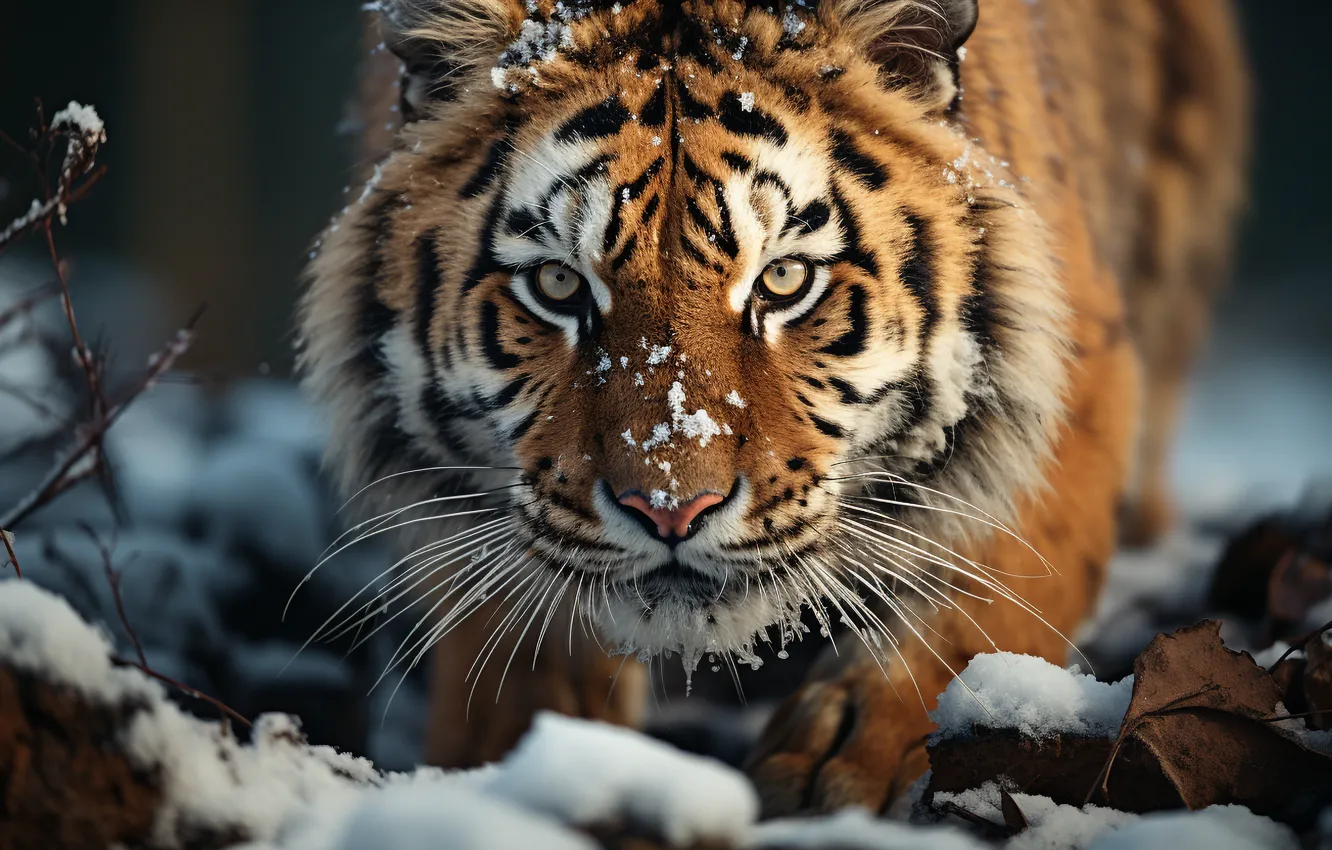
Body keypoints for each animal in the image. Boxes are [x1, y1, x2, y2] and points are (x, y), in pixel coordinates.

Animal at [298, 0, 1248, 816]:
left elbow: (992, 594)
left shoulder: (1075, 375)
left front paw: (850, 758)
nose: (670, 511)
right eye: (559, 286)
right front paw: (521, 766)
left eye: (784, 279)